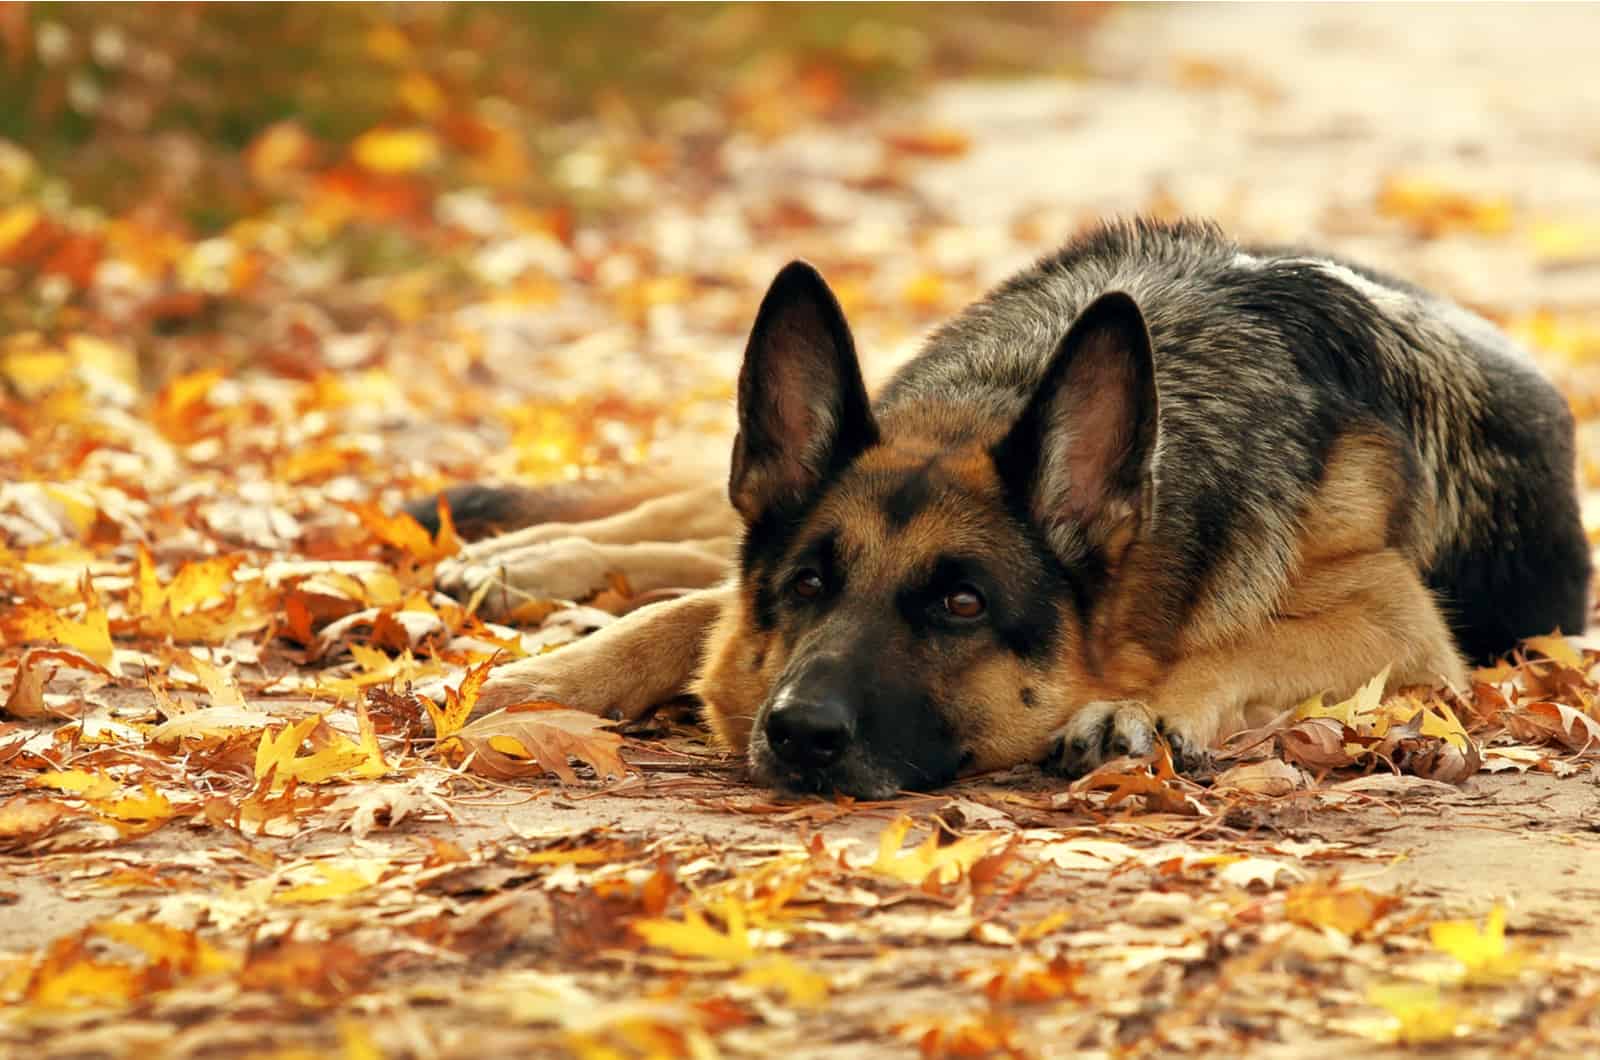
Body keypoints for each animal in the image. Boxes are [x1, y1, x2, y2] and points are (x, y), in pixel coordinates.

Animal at [419, 219, 1593, 797]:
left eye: (963, 606)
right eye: (809, 583)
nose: (797, 731)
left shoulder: (1404, 629)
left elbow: (1240, 646)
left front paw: (1140, 706)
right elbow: (692, 611)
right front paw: (553, 674)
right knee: (683, 526)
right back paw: (521, 556)